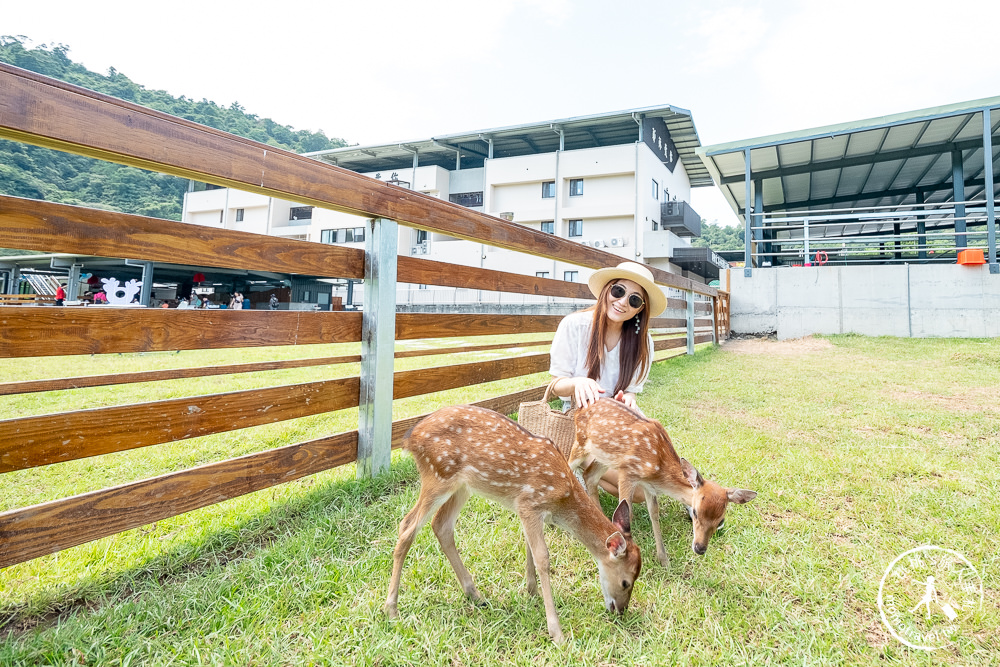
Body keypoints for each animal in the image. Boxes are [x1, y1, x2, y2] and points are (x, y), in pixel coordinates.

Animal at [382, 404, 640, 644]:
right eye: (625, 582)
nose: (620, 611)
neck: (563, 500)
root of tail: (410, 439)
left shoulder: (527, 511)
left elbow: (529, 548)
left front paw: (531, 591)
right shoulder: (529, 503)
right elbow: (543, 558)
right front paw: (557, 632)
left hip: (463, 485)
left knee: (441, 525)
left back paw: (475, 594)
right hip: (437, 475)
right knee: (407, 526)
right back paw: (392, 609)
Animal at [568, 400, 752, 568]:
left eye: (720, 520)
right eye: (695, 512)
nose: (700, 548)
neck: (658, 469)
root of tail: (578, 409)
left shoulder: (649, 486)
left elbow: (654, 513)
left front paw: (664, 560)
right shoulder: (628, 472)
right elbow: (627, 510)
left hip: (605, 457)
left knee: (589, 475)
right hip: (581, 442)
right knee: (569, 466)